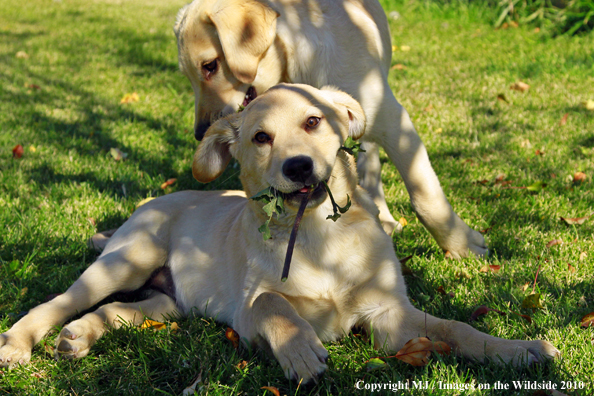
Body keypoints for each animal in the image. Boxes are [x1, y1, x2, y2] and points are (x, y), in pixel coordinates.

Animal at [173, 0, 488, 258]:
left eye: (210, 65)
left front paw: (462, 245)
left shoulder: (394, 121)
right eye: (187, 76)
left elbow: (425, 195)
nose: (201, 132)